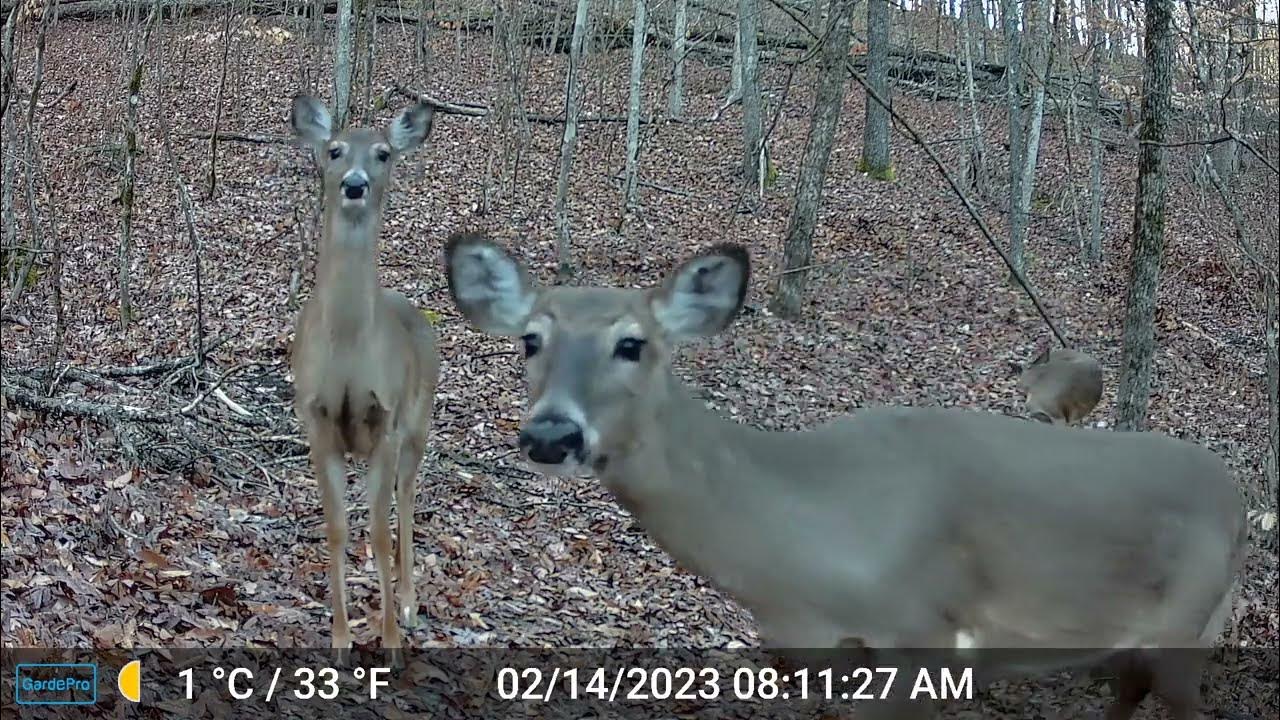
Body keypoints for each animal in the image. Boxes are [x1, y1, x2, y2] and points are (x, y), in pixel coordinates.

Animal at [287, 95, 440, 663]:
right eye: (333, 149)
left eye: (383, 153)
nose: (355, 183)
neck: (350, 348)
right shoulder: (316, 419)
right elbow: (336, 527)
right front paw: (340, 639)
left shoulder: (387, 420)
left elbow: (376, 531)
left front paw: (390, 640)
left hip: (418, 423)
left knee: (407, 498)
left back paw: (410, 602)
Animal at [442, 232, 1248, 720]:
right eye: (530, 340)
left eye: (632, 343)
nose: (552, 434)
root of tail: (1237, 493)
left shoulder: (928, 633)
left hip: (1192, 619)